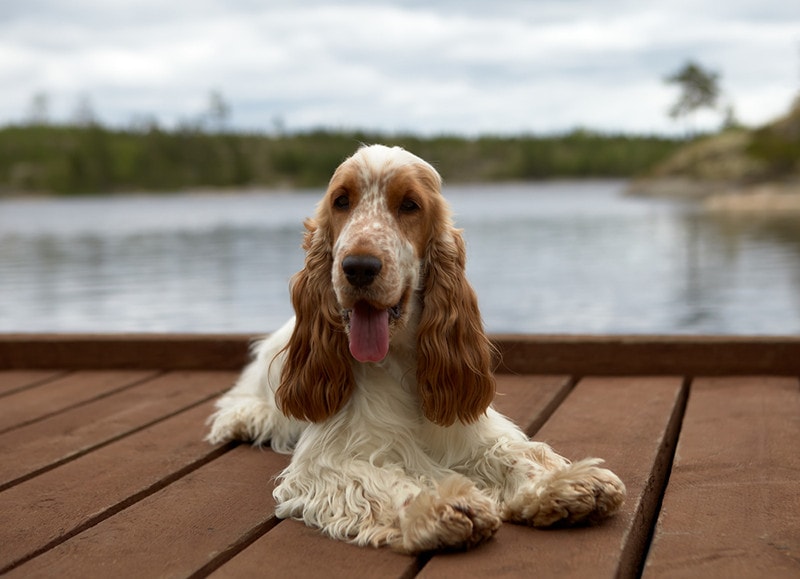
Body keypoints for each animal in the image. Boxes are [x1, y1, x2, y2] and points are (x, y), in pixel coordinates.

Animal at [208, 144, 624, 552]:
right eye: (341, 201)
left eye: (409, 205)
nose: (359, 267)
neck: (397, 362)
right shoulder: (327, 460)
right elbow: (381, 481)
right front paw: (441, 507)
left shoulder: (470, 431)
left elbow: (513, 455)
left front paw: (566, 485)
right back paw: (245, 418)